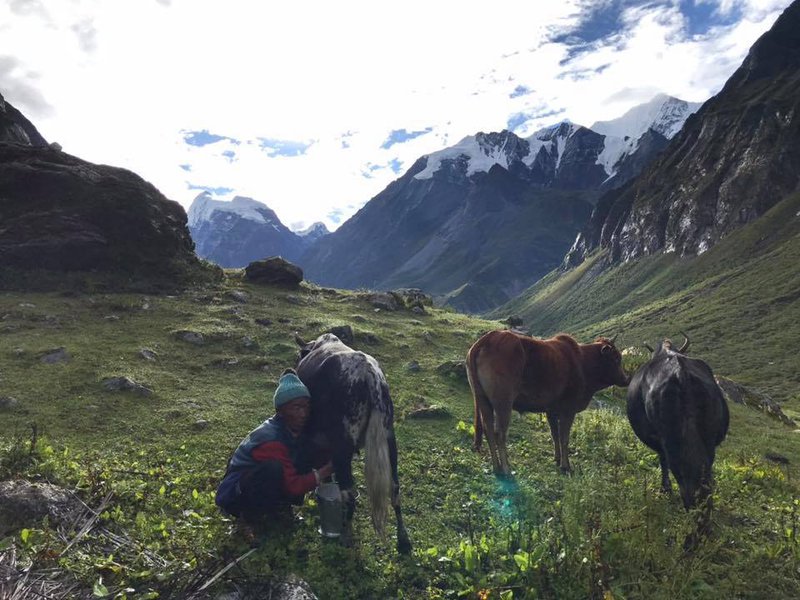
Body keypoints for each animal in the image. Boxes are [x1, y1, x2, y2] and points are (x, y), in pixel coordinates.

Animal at [292, 332, 412, 552]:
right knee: (394, 487)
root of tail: (368, 374)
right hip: (389, 438)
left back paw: (345, 534)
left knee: (348, 492)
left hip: (344, 444)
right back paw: (403, 540)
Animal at [466, 330, 628, 476]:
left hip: (482, 399)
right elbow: (564, 438)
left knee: (487, 430)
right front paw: (566, 466)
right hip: (503, 402)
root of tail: (487, 338)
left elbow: (554, 435)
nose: (626, 379)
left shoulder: (551, 410)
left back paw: (496, 467)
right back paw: (506, 469)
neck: (582, 362)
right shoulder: (568, 410)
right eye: (616, 358)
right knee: (499, 433)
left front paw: (557, 459)